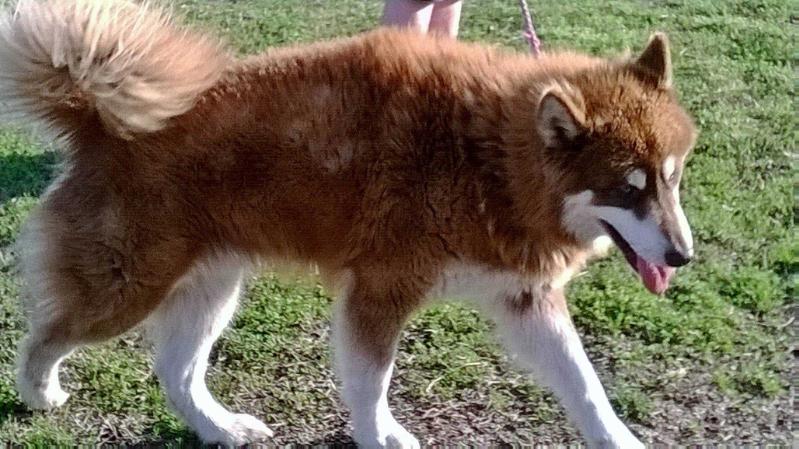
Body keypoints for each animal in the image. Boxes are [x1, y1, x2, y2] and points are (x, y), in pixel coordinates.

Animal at [0, 1, 696, 446]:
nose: (683, 256)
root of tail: (100, 123)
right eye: (627, 189)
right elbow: (370, 383)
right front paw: (379, 435)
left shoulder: (525, 298)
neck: (489, 157)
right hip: (125, 289)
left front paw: (619, 440)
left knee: (176, 375)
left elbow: (586, 387)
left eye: (672, 176)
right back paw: (39, 392)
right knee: (46, 337)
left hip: (210, 288)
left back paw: (220, 429)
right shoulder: (381, 290)